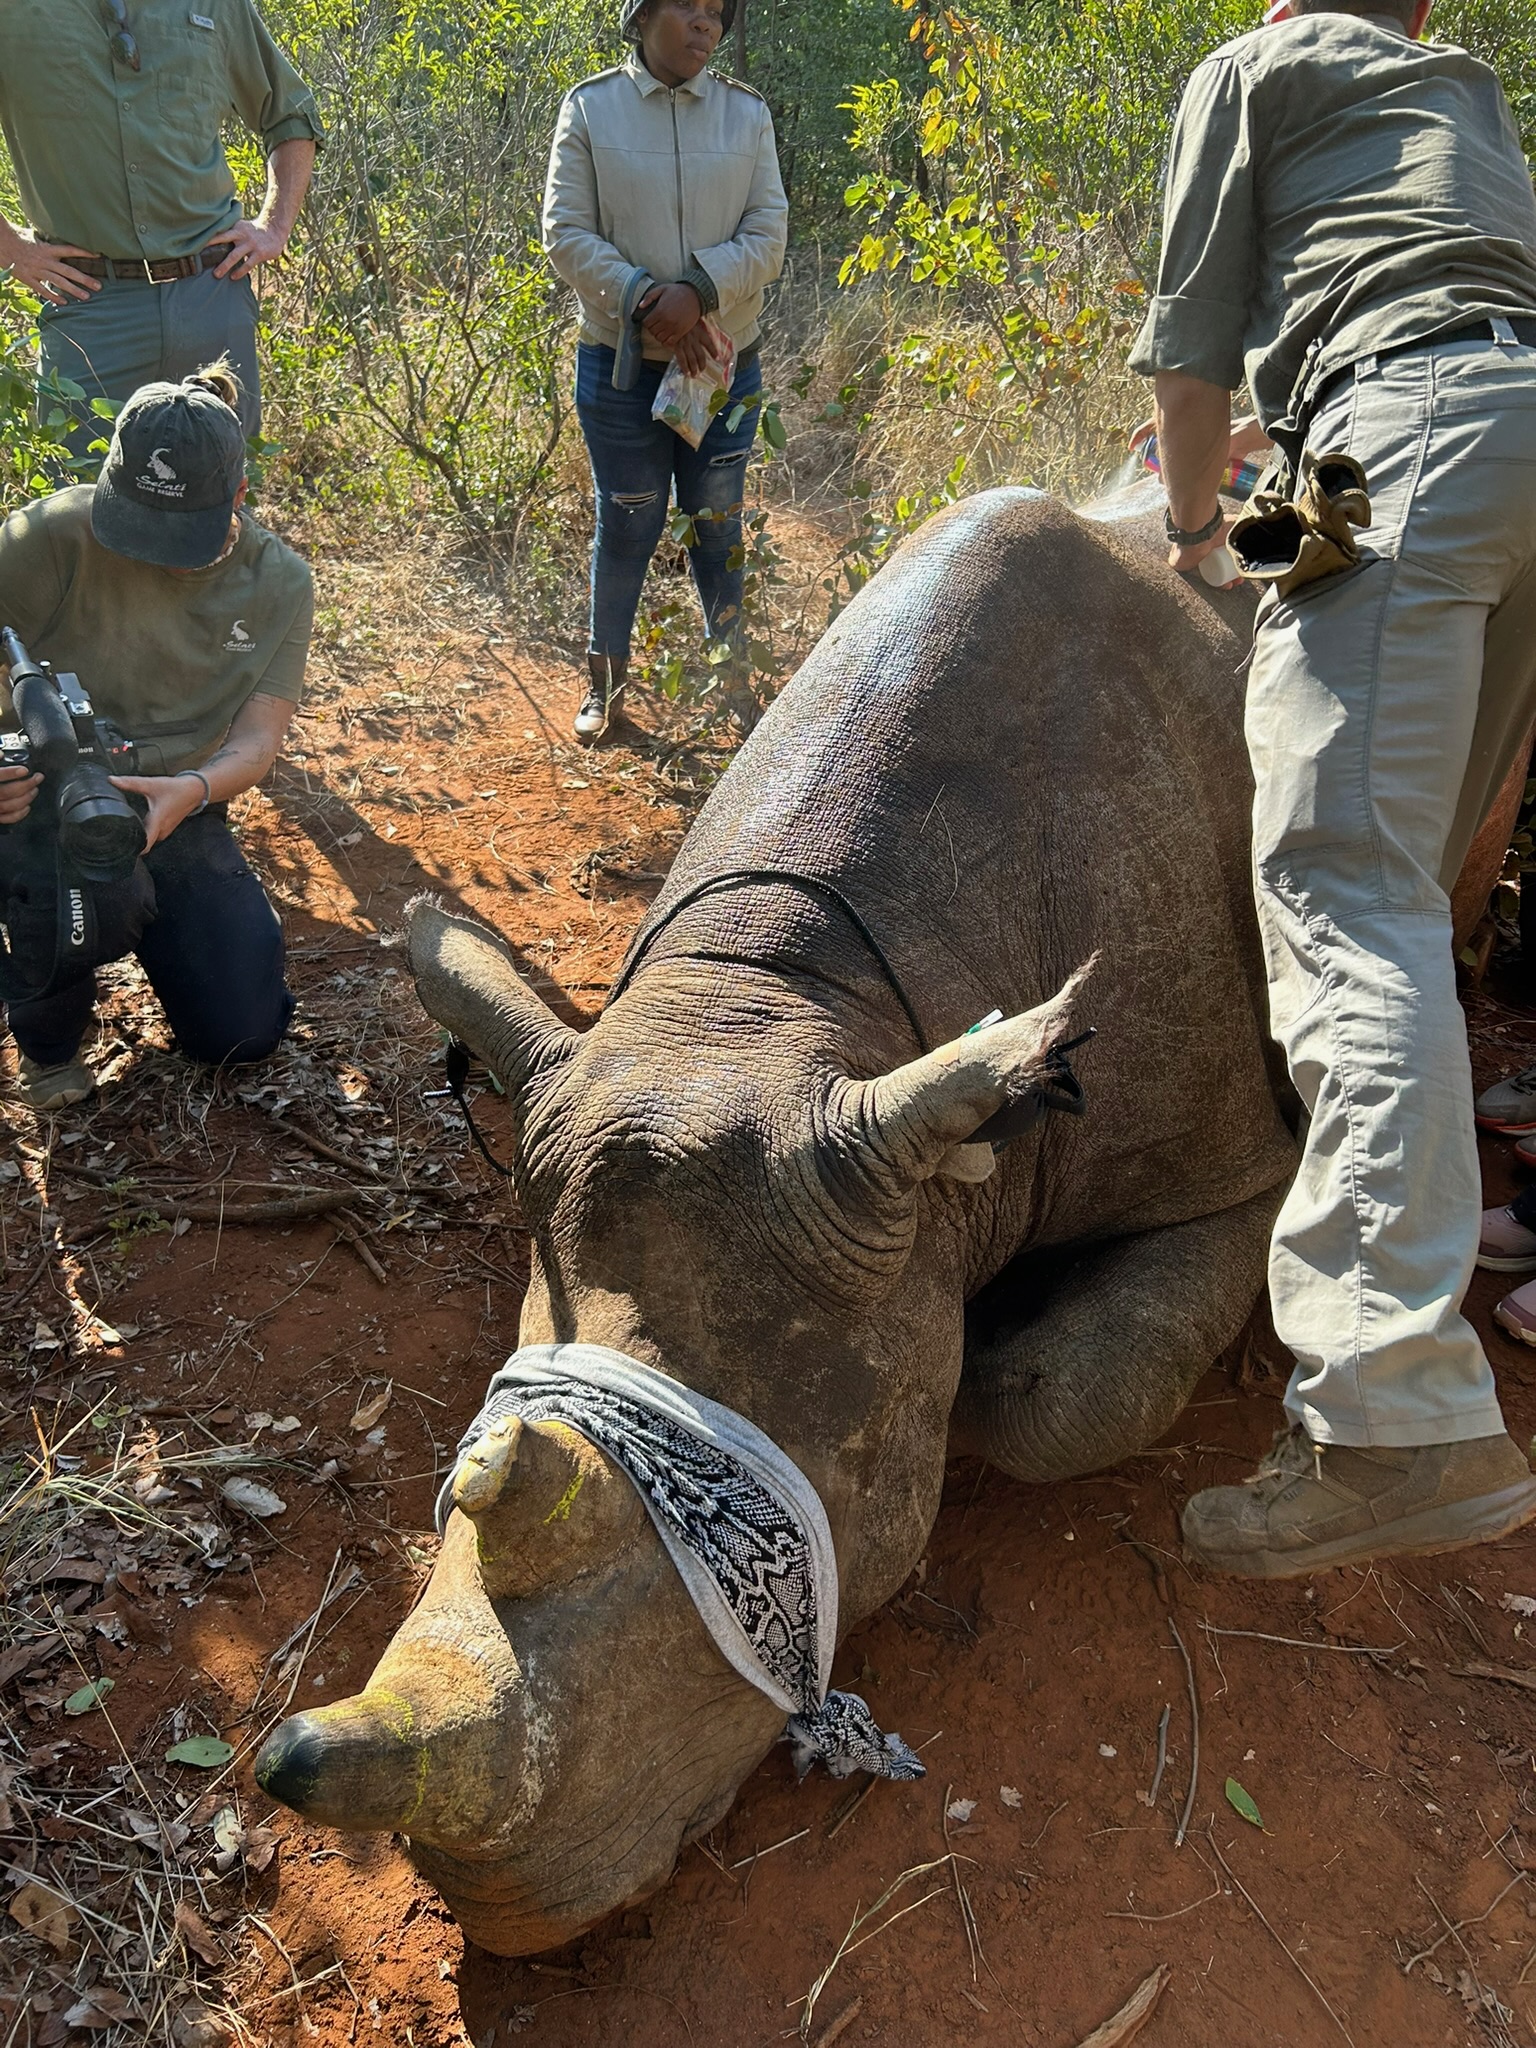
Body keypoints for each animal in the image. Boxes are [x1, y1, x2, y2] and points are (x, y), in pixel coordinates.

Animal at [254, 484, 1501, 1956]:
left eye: (766, 1544)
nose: (496, 1913)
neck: (789, 1002)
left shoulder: (1234, 1157)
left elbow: (1062, 1395)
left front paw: (994, 1372)